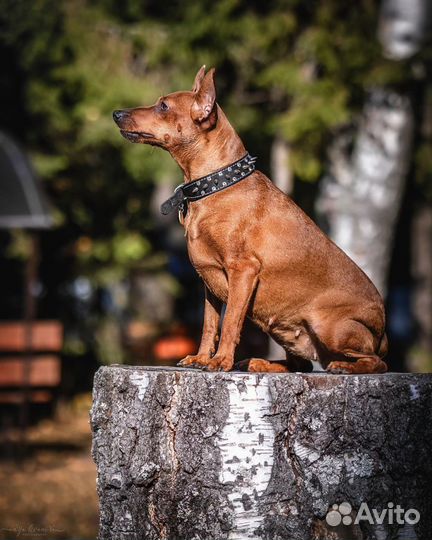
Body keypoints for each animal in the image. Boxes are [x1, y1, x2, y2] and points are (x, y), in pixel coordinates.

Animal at [114, 65, 388, 374]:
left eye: (163, 106)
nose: (117, 113)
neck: (216, 185)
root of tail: (383, 332)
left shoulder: (243, 271)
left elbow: (231, 323)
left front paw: (220, 361)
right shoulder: (208, 281)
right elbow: (209, 326)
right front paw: (202, 358)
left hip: (329, 328)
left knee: (377, 362)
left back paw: (344, 367)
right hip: (282, 328)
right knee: (301, 364)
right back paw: (258, 362)